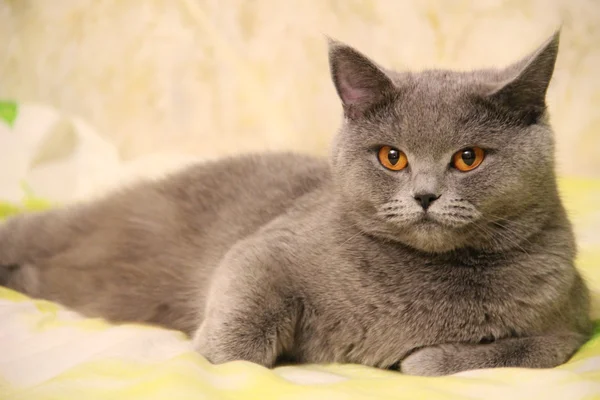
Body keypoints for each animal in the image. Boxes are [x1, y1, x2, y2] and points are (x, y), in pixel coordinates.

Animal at [0, 31, 592, 376]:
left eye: (468, 158)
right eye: (393, 157)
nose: (425, 195)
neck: (430, 275)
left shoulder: (574, 318)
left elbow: (529, 349)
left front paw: (425, 355)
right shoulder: (264, 252)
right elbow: (239, 345)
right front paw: (211, 352)